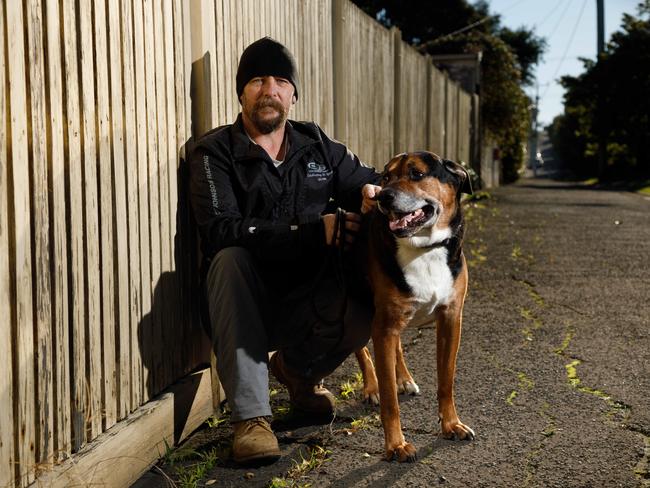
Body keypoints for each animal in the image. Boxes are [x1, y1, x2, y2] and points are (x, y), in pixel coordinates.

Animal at [352, 152, 474, 462]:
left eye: (416, 174)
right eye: (385, 178)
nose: (382, 196)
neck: (424, 248)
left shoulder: (451, 319)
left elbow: (446, 381)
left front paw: (451, 424)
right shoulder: (384, 324)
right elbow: (390, 401)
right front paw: (395, 445)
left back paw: (404, 379)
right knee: (361, 349)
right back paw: (371, 386)